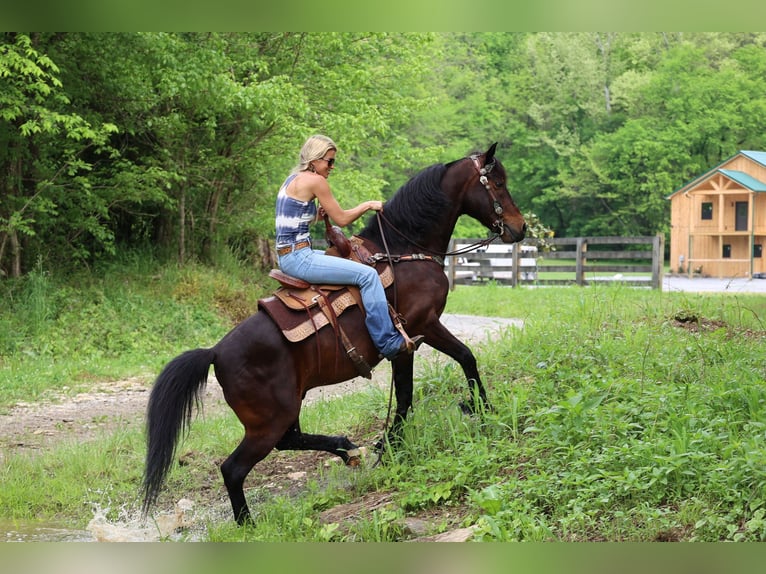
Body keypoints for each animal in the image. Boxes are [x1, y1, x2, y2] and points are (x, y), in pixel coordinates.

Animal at [141, 143, 528, 528]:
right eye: (498, 183)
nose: (520, 227)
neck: (403, 251)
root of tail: (216, 352)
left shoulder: (414, 339)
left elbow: (421, 387)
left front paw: (390, 443)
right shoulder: (419, 329)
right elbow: (446, 369)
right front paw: (477, 410)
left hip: (287, 406)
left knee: (290, 440)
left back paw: (347, 449)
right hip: (268, 422)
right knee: (234, 468)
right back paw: (250, 521)